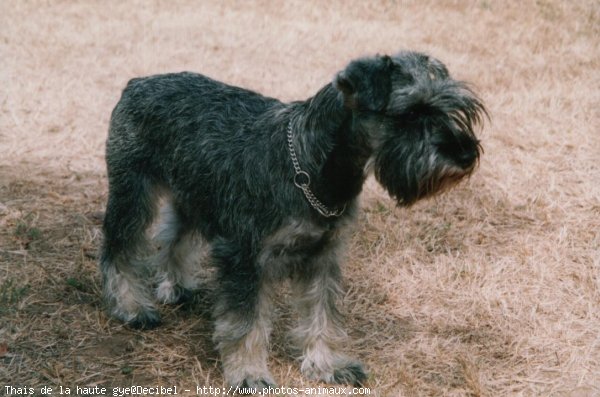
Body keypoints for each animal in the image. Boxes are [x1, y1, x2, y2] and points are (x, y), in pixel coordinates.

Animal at [101, 51, 488, 386]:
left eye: (454, 108)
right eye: (411, 113)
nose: (466, 155)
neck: (314, 167)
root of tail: (138, 82)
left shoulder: (323, 256)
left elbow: (321, 315)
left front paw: (326, 365)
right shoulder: (245, 257)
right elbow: (246, 322)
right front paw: (249, 373)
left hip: (193, 198)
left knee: (174, 239)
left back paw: (176, 286)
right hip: (133, 195)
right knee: (119, 249)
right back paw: (132, 307)